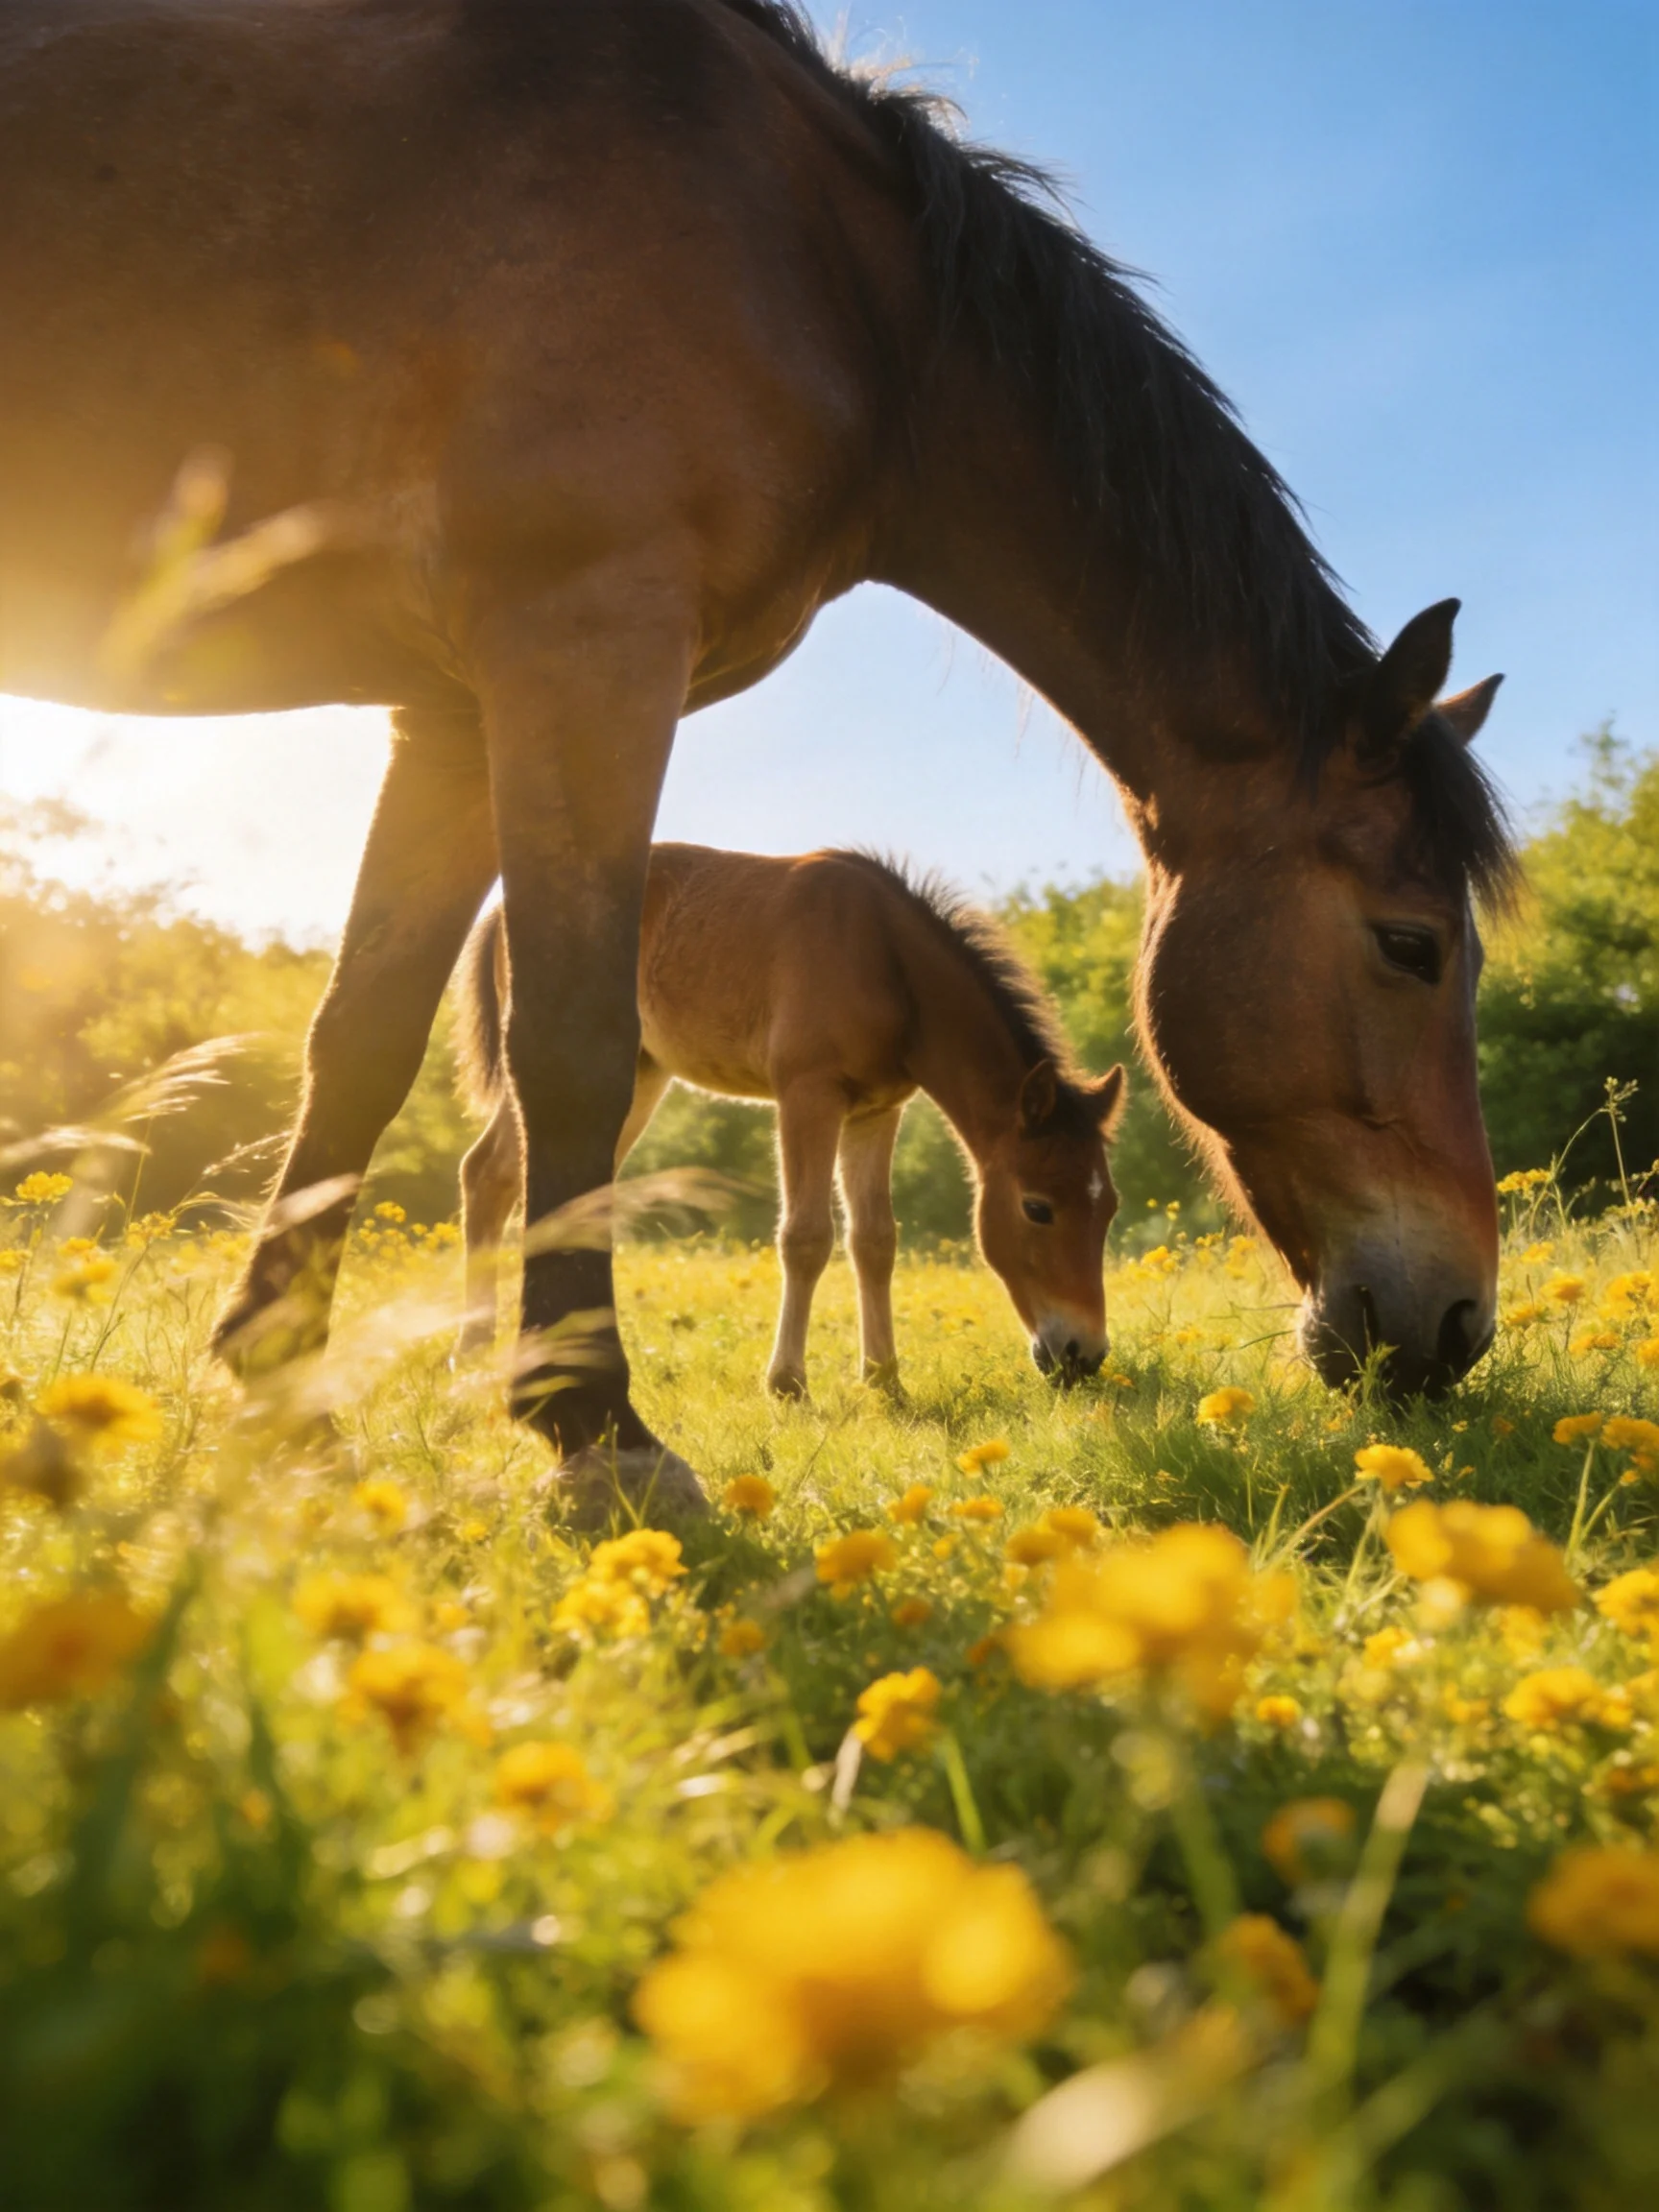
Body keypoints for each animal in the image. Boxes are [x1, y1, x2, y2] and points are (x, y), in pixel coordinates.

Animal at [454, 844, 1125, 1397]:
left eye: (1109, 1208)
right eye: (1037, 1207)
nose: (1082, 1356)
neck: (883, 959)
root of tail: (499, 910)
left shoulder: (877, 1111)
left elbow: (874, 1239)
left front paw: (884, 1379)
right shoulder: (808, 1094)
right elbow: (805, 1237)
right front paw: (787, 1383)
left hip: (640, 1074)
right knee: (488, 1173)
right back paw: (475, 1352)